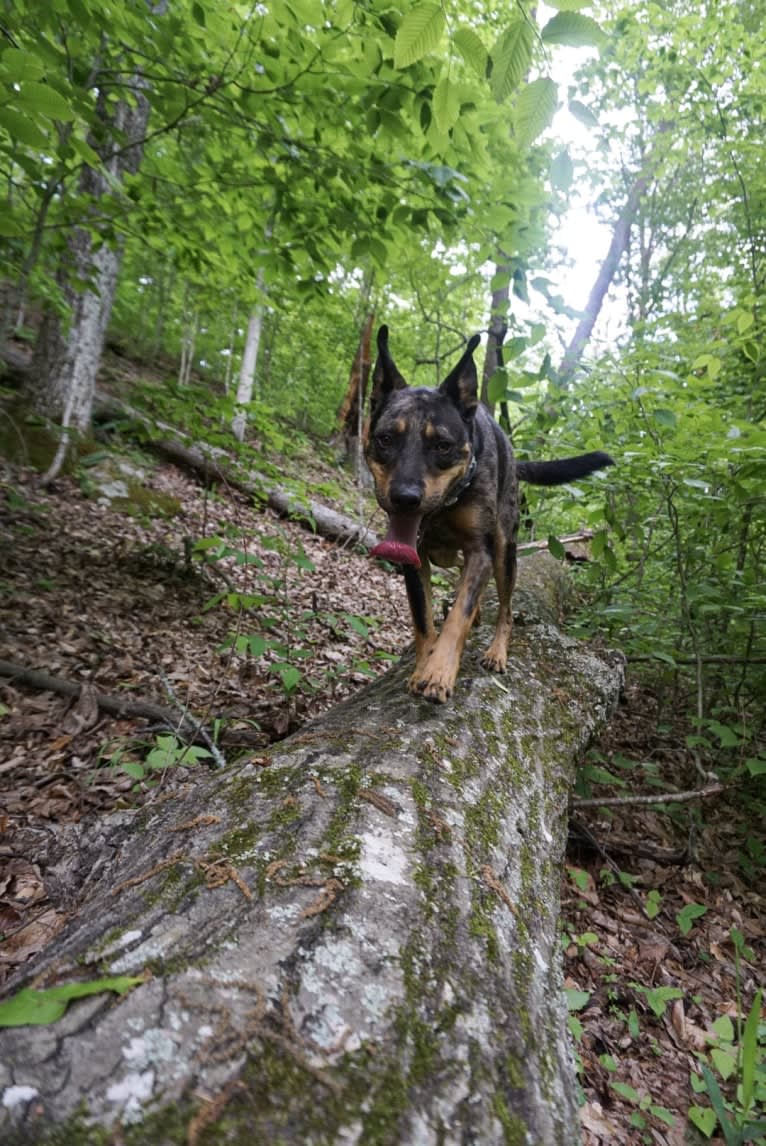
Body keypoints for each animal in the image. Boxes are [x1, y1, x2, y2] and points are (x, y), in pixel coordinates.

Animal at [366, 323, 614, 696]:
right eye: (385, 440)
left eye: (442, 445)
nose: (405, 498)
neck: (447, 506)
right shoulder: (415, 558)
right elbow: (424, 620)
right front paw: (424, 665)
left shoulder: (480, 551)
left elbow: (458, 616)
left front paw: (439, 672)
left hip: (504, 551)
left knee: (507, 609)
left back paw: (497, 650)